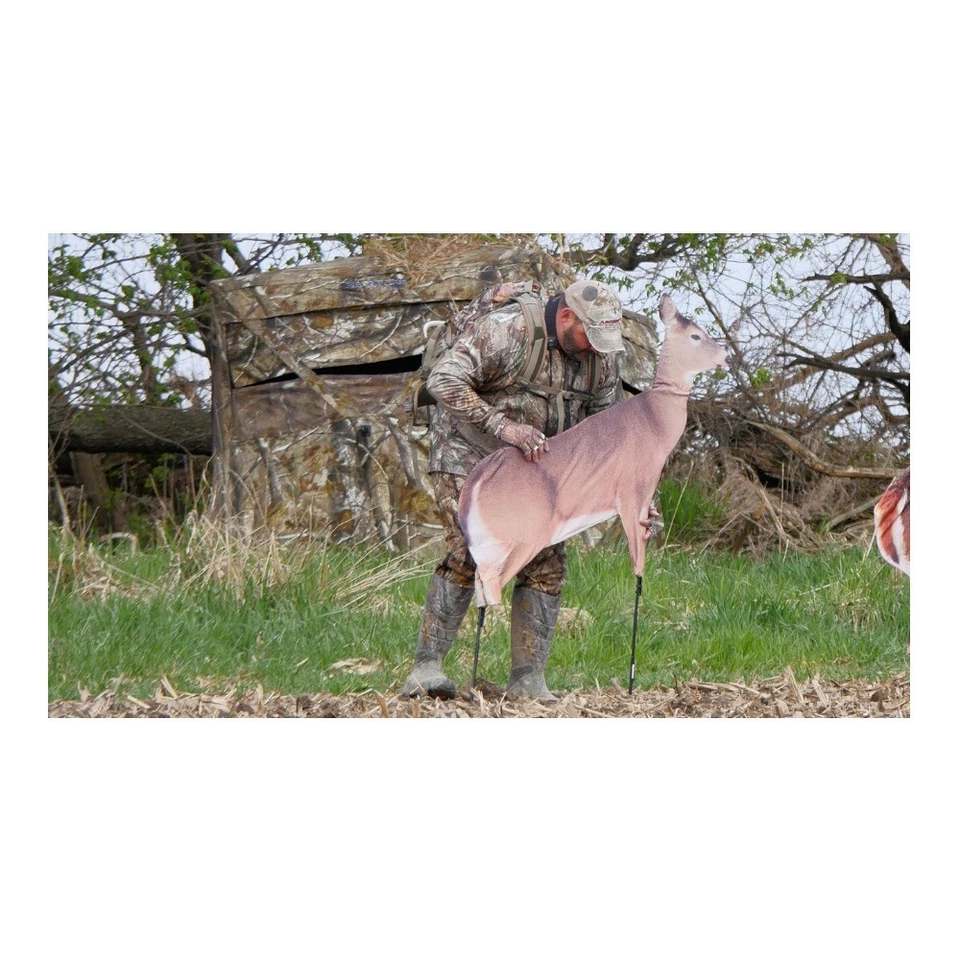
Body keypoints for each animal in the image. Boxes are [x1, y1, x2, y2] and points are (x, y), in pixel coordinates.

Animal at [457, 294, 730, 690]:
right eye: (696, 335)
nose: (726, 356)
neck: (657, 423)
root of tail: (474, 485)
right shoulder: (632, 490)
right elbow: (638, 567)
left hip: (494, 540)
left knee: (479, 582)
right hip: (524, 531)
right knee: (488, 585)